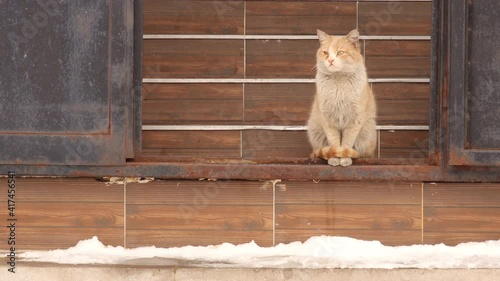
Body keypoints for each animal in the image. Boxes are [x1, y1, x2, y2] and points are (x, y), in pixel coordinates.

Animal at [306, 29, 376, 166]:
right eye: (325, 52)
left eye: (340, 52)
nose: (330, 60)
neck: (338, 80)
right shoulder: (328, 119)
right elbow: (334, 142)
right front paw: (334, 158)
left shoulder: (354, 120)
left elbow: (346, 143)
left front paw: (345, 159)